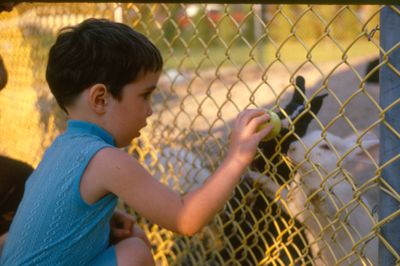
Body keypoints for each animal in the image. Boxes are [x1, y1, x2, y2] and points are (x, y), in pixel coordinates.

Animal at [250, 130, 378, 264]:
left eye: (326, 147)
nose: (292, 147)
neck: (313, 179)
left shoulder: (346, 218)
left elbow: (334, 212)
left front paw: (317, 196)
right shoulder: (296, 208)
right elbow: (278, 193)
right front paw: (255, 177)